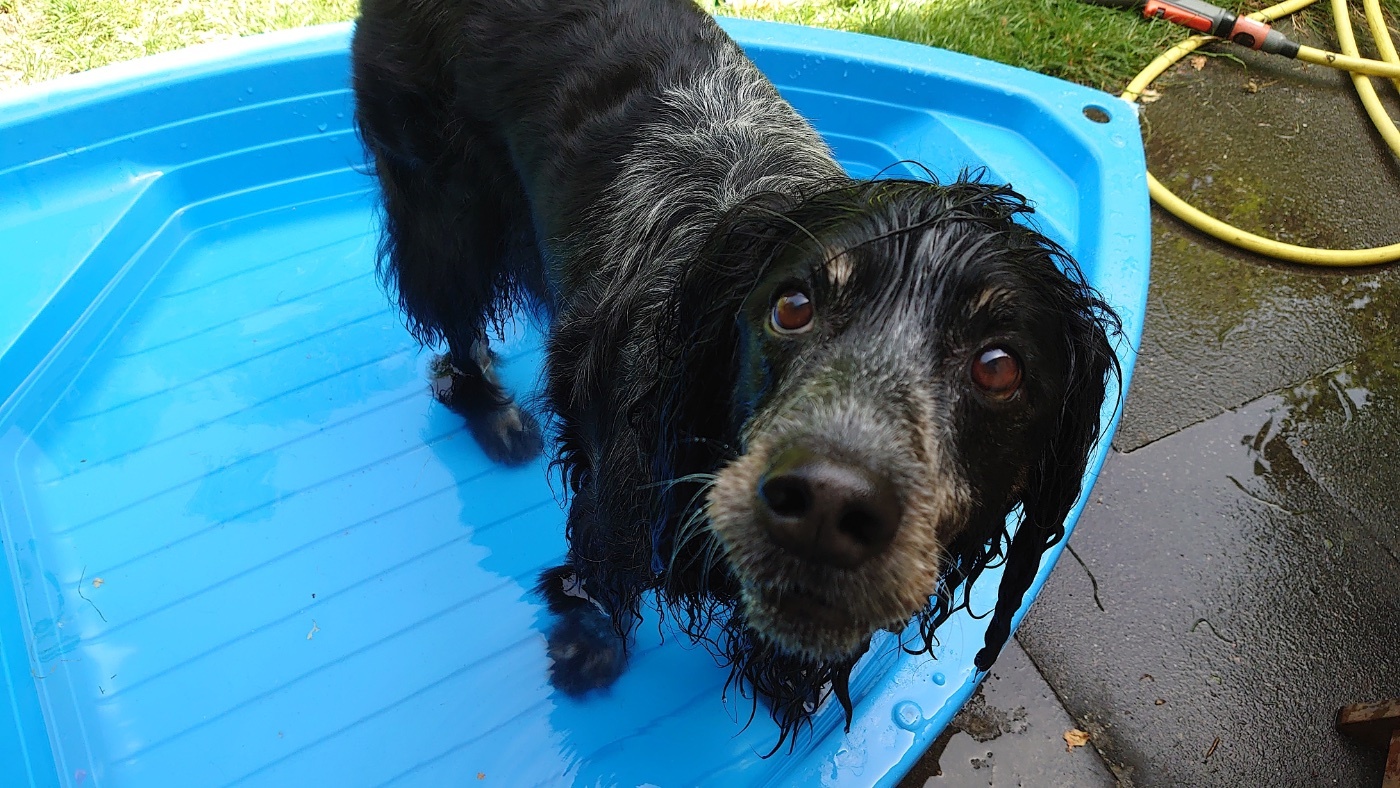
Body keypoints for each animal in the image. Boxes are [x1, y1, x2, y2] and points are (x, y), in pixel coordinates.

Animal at [350, 0, 1120, 745]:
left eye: (999, 368)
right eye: (793, 306)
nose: (826, 507)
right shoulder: (609, 498)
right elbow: (601, 582)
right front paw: (589, 648)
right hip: (443, 209)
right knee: (454, 321)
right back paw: (493, 413)